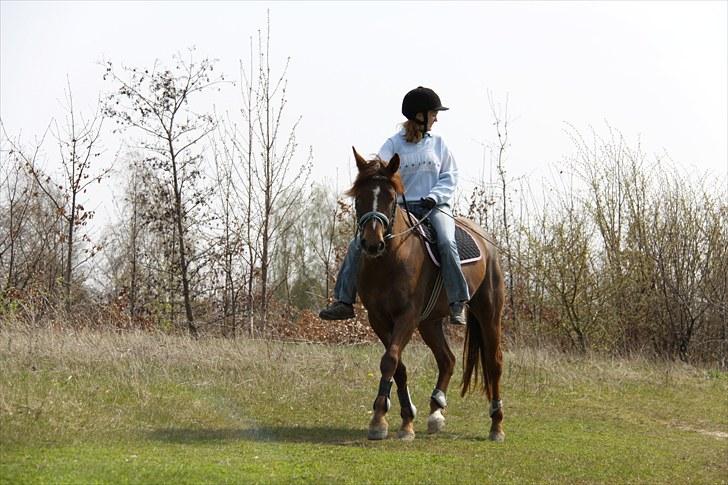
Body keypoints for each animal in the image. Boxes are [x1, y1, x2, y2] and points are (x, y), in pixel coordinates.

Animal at [348, 147, 506, 442]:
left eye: (389, 198)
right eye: (359, 198)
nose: (372, 243)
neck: (391, 258)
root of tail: (485, 239)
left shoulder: (407, 316)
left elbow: (390, 360)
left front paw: (380, 420)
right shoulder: (379, 318)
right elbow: (397, 365)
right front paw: (404, 417)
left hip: (489, 313)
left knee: (494, 363)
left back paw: (496, 426)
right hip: (430, 322)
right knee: (447, 359)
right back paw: (436, 412)